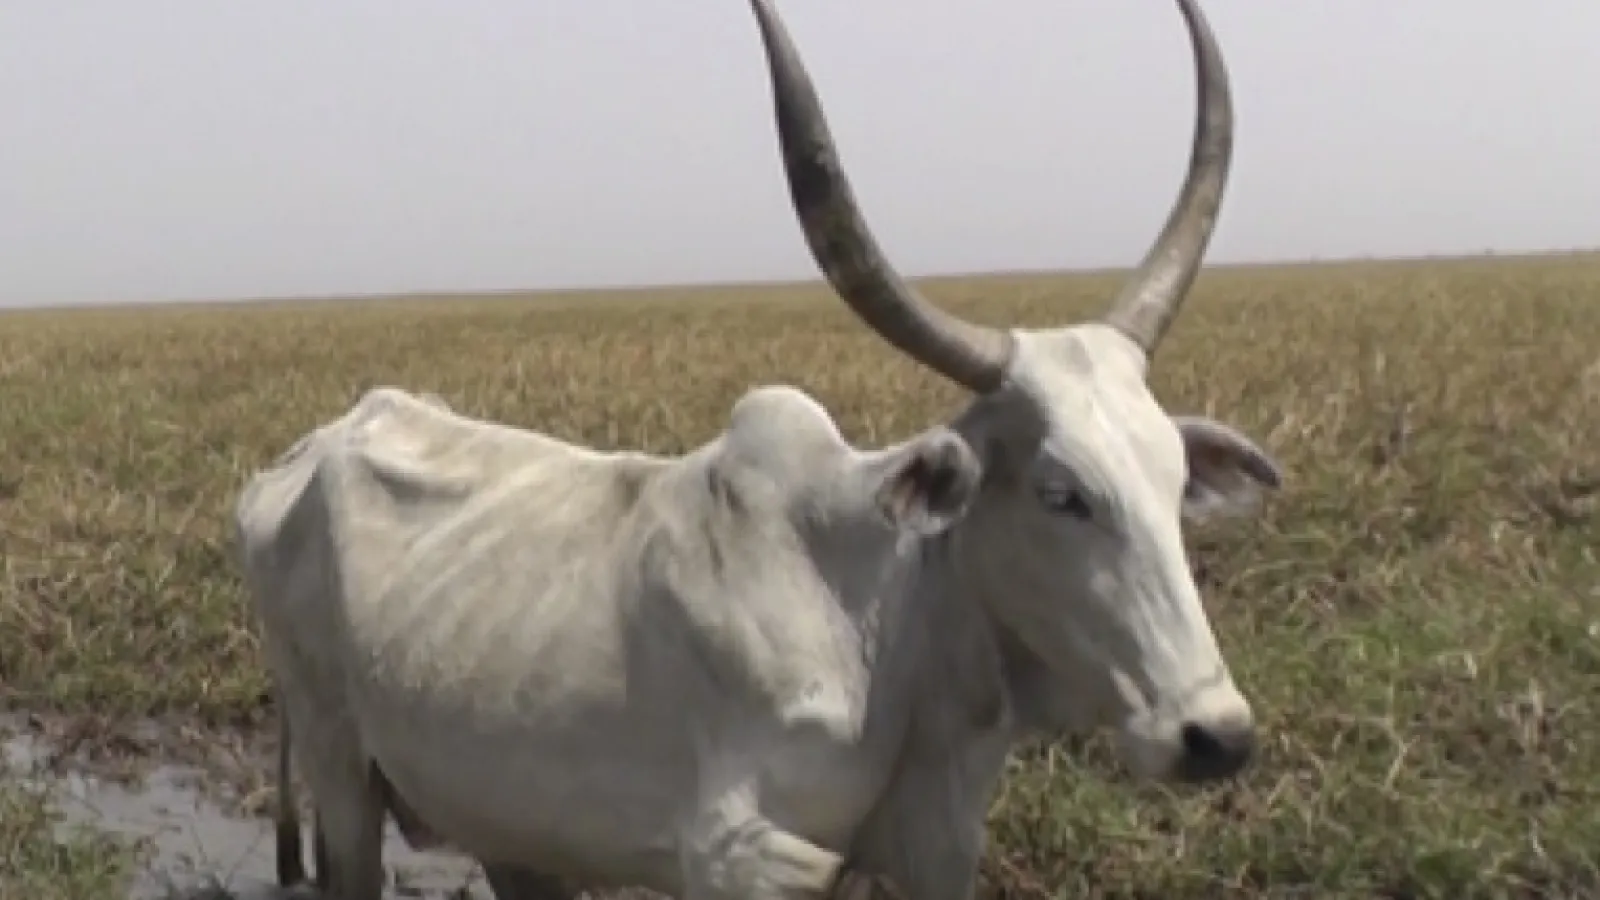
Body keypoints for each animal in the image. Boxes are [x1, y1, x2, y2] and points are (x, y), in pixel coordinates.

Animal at [237, 0, 1283, 897]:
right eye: (1060, 493)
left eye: (1175, 483)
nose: (1217, 735)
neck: (889, 620)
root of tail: (309, 450)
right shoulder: (738, 857)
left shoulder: (939, 848)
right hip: (337, 764)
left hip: (501, 814)